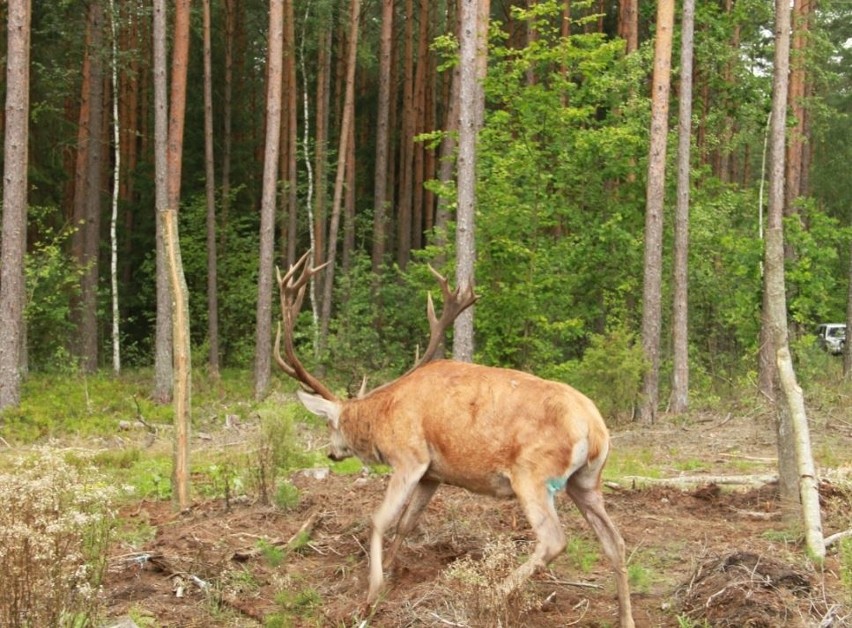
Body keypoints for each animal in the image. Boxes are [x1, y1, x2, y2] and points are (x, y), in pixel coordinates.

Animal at [272, 253, 632, 624]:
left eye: (330, 425)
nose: (332, 453)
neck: (384, 415)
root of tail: (594, 427)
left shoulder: (410, 457)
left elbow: (379, 520)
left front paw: (371, 597)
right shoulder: (434, 473)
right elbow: (406, 523)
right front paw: (391, 570)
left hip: (534, 473)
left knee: (554, 539)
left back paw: (492, 596)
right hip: (586, 480)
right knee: (615, 541)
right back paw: (625, 618)